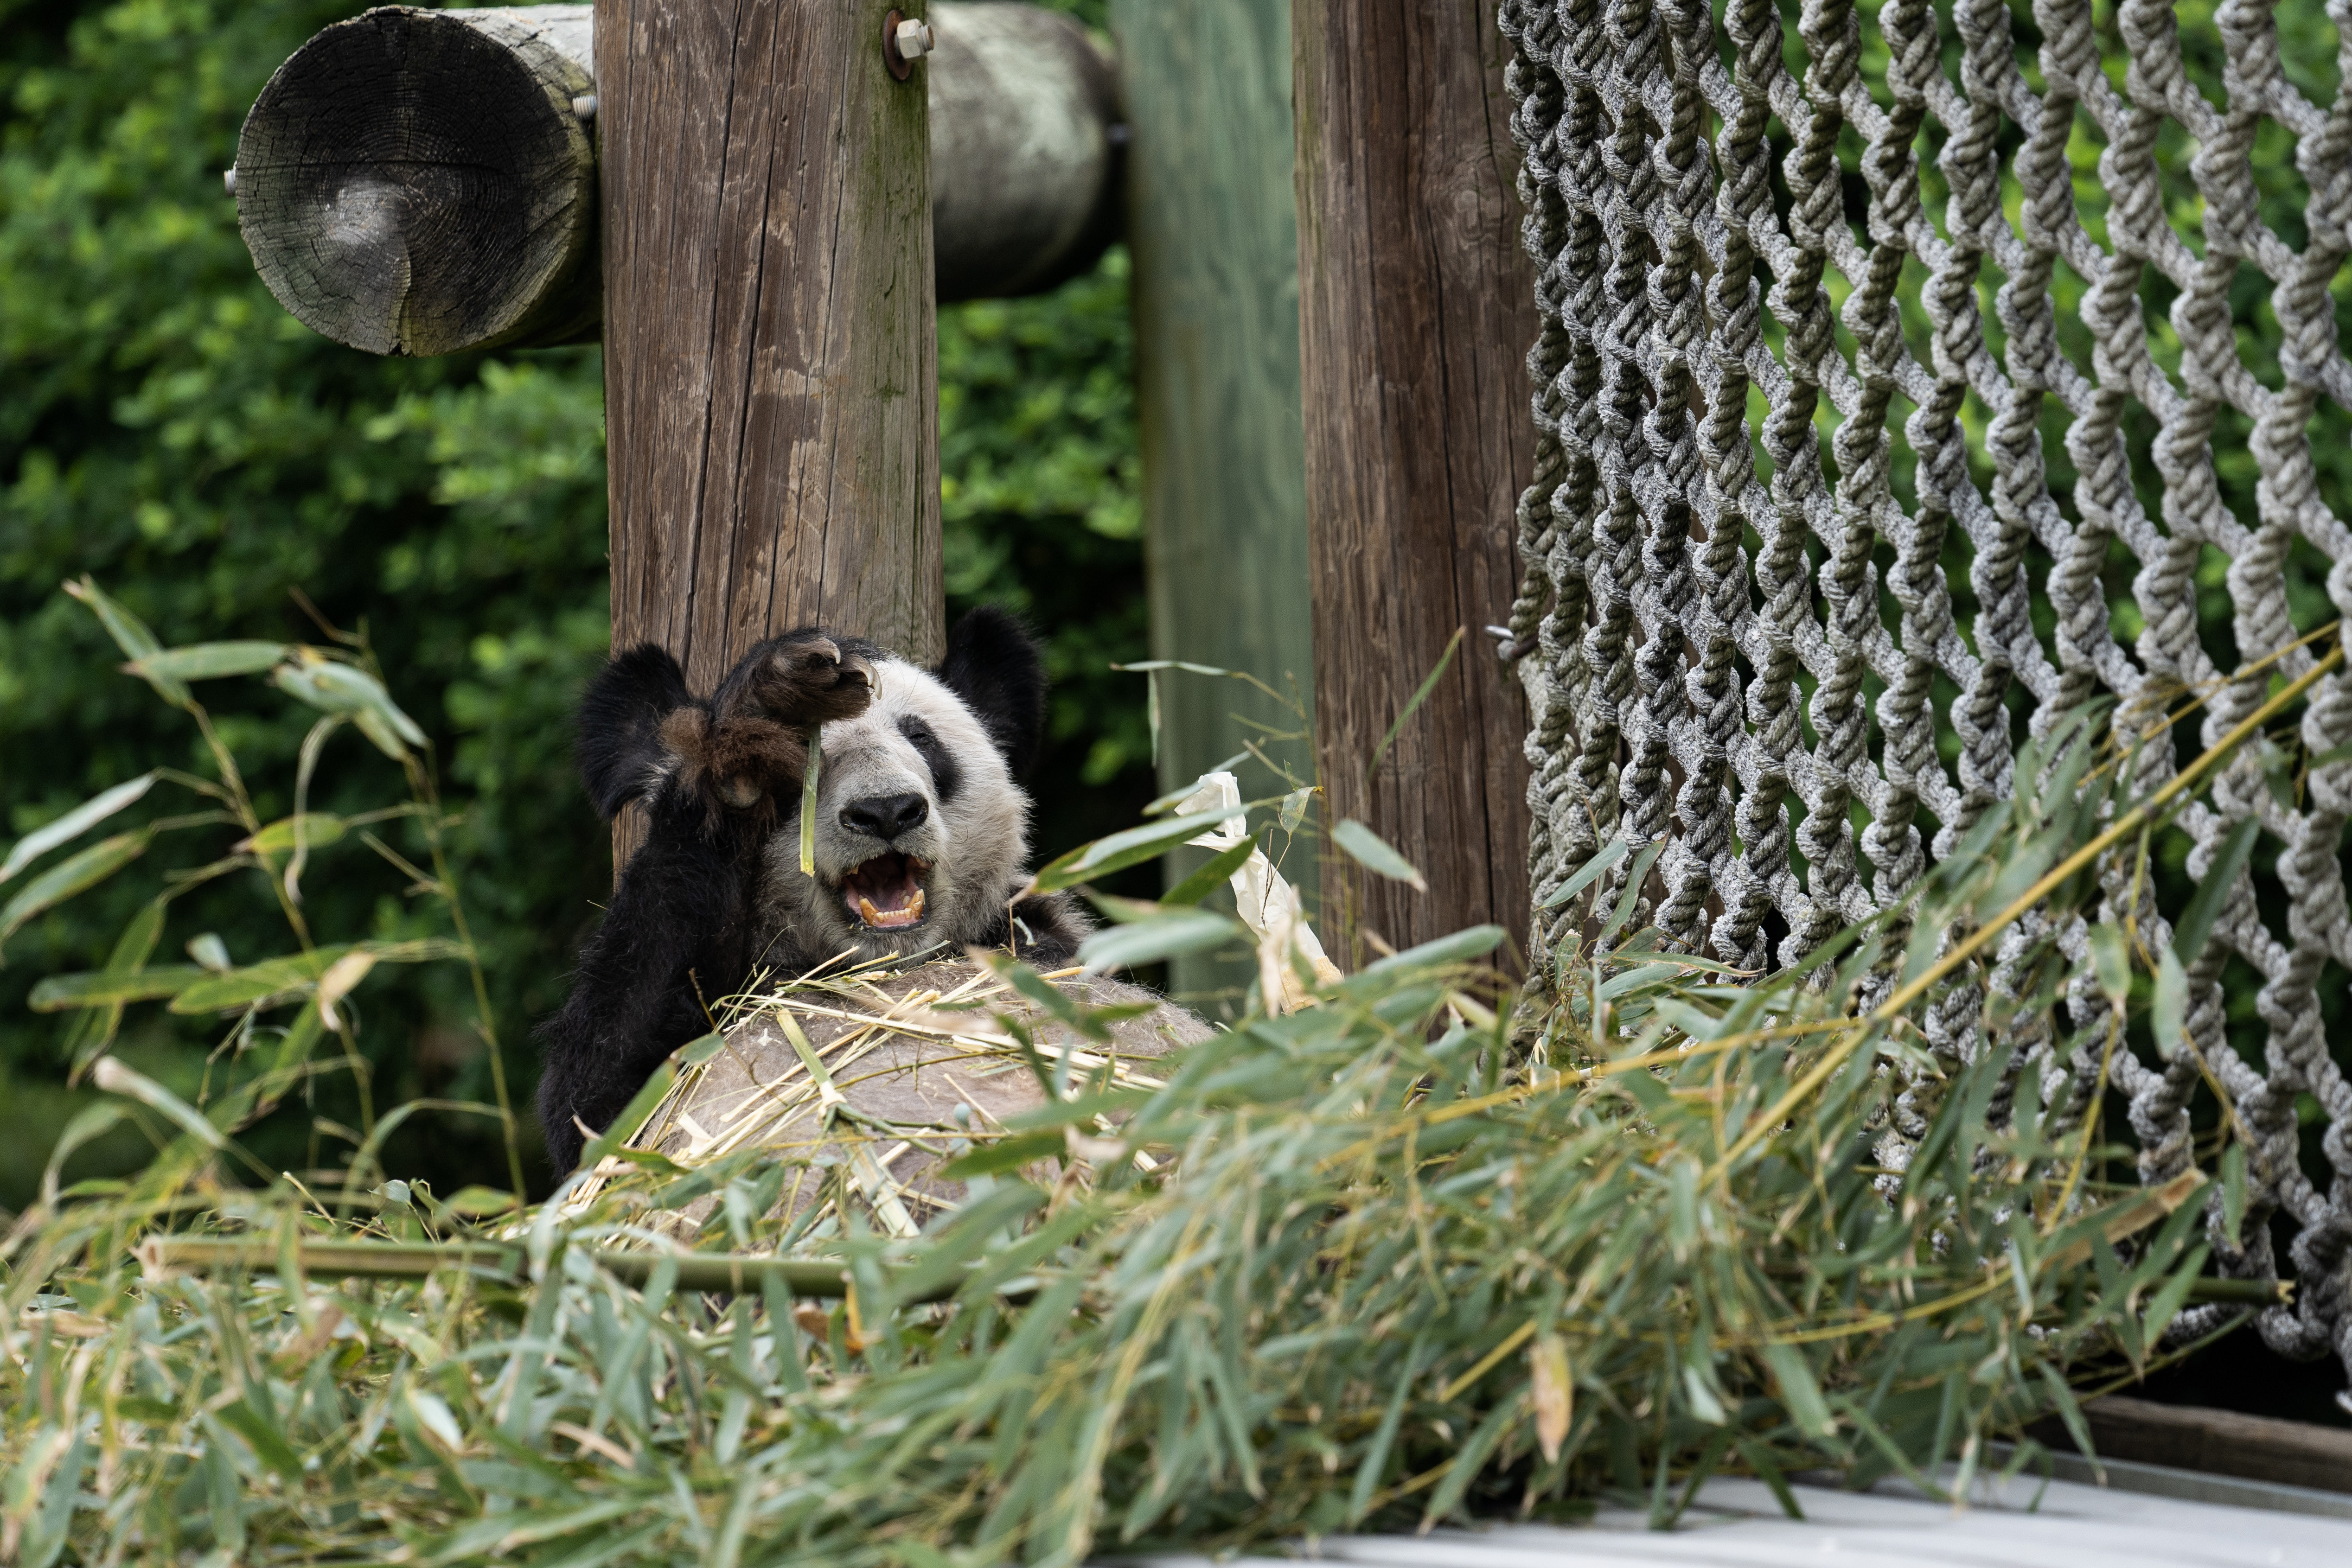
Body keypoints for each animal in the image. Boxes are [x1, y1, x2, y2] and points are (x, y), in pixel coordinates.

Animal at [534, 606, 1082, 1171]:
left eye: (921, 737)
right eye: (805, 757)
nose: (886, 811)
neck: (883, 966)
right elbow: (597, 1096)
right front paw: (756, 728)